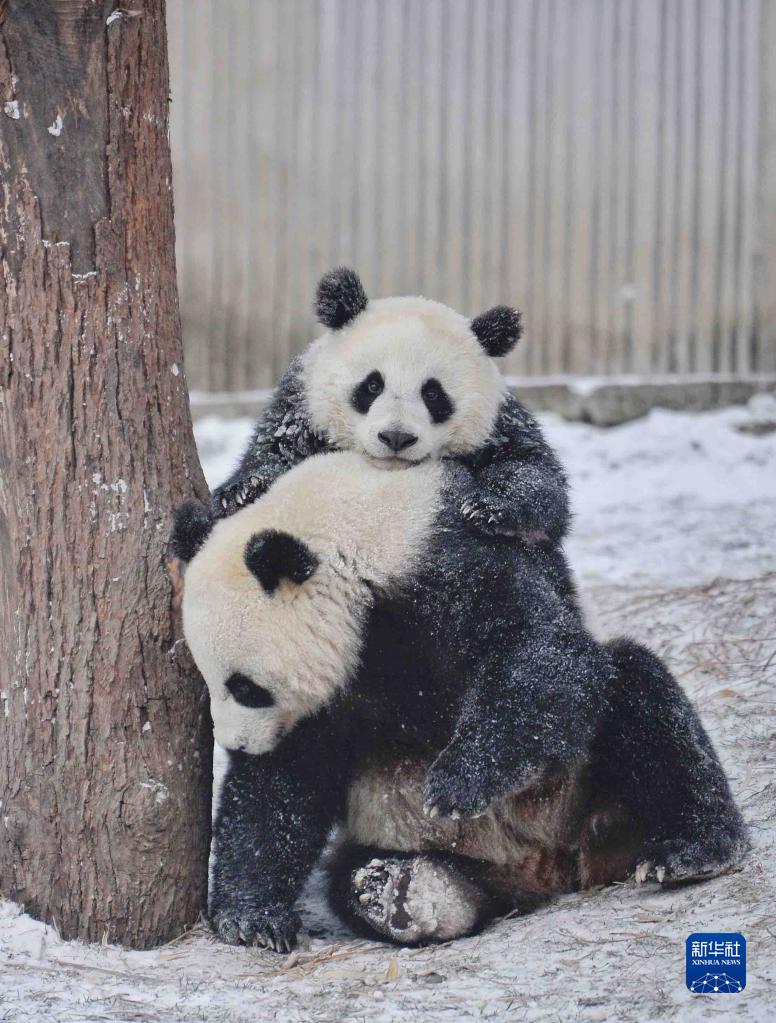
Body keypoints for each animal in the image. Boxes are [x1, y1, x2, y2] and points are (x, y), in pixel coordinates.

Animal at [174, 268, 748, 945]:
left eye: (246, 687)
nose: (238, 744)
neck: (346, 521)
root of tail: (552, 867)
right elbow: (284, 784)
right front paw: (252, 916)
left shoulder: (442, 561)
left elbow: (545, 650)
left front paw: (457, 781)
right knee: (367, 873)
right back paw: (403, 892)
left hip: (582, 785)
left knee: (641, 696)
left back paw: (693, 848)